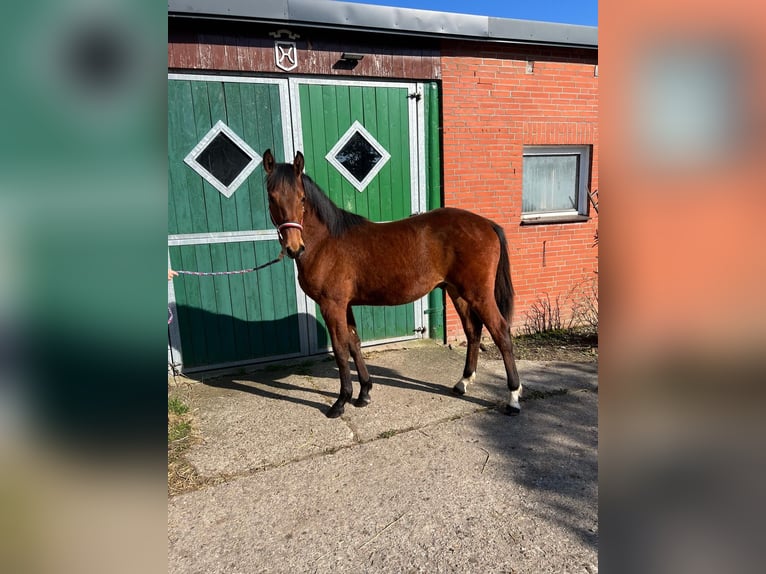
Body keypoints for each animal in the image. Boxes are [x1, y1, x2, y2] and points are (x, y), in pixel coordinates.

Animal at [263, 150, 522, 418]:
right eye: (272, 197)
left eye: (302, 198)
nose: (294, 248)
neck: (326, 241)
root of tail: (487, 224)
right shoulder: (346, 305)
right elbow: (354, 343)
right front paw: (364, 393)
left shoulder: (332, 305)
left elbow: (340, 349)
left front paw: (341, 401)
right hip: (457, 292)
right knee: (473, 331)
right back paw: (463, 383)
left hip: (479, 295)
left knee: (501, 332)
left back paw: (513, 398)